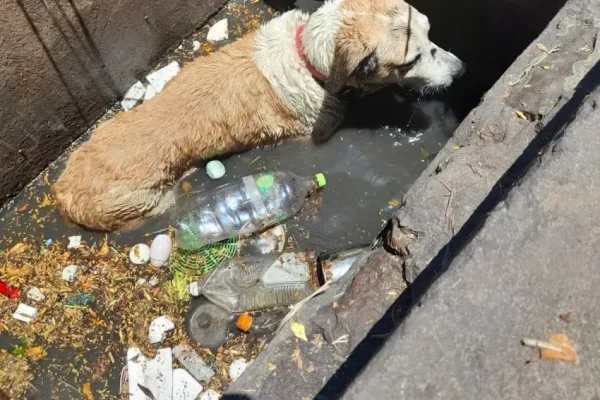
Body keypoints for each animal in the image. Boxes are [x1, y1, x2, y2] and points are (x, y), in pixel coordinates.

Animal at [54, 0, 466, 231]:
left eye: (430, 32)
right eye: (412, 58)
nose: (461, 70)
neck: (308, 57)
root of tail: (63, 191)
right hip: (145, 203)